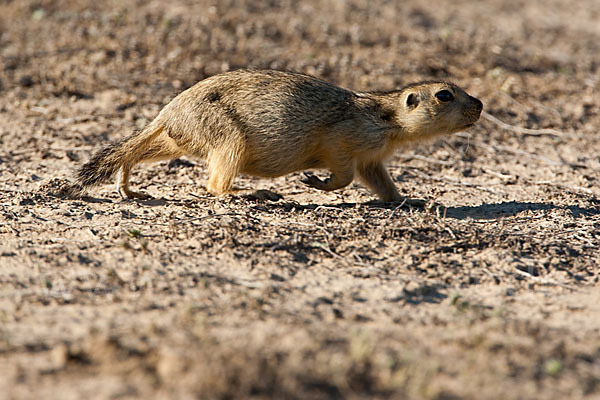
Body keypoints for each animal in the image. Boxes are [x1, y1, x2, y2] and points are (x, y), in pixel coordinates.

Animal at [70, 69, 482, 202]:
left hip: (176, 140)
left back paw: (128, 187)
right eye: (444, 95)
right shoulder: (344, 140)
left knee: (131, 152)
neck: (389, 119)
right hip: (227, 139)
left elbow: (380, 182)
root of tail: (167, 111)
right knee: (214, 185)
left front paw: (409, 199)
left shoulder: (372, 159)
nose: (479, 104)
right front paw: (316, 182)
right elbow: (344, 175)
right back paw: (256, 193)